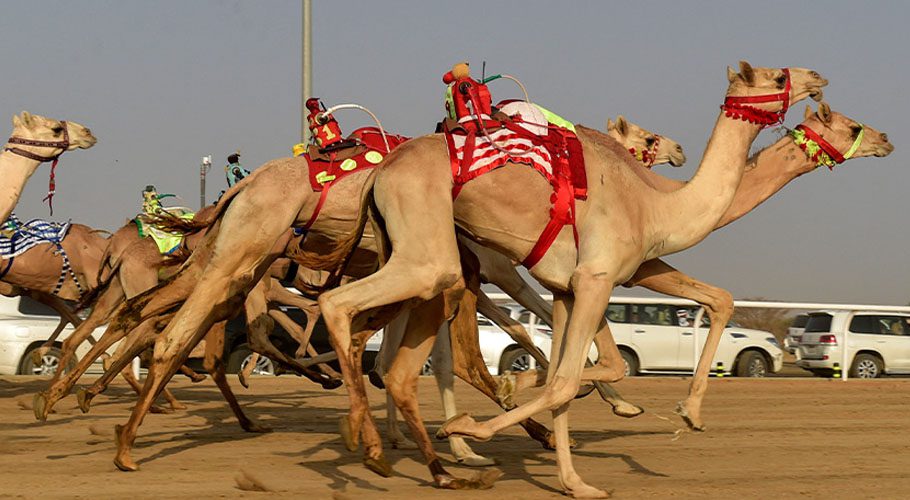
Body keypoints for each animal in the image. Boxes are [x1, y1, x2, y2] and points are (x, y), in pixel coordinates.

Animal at [306, 60, 828, 494]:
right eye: (776, 77)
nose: (816, 77)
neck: (656, 206)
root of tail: (380, 175)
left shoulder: (569, 286)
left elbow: (572, 369)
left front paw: (577, 473)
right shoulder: (594, 278)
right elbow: (569, 373)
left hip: (422, 265)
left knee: (387, 354)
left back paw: (411, 448)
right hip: (431, 261)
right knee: (345, 310)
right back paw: (386, 443)